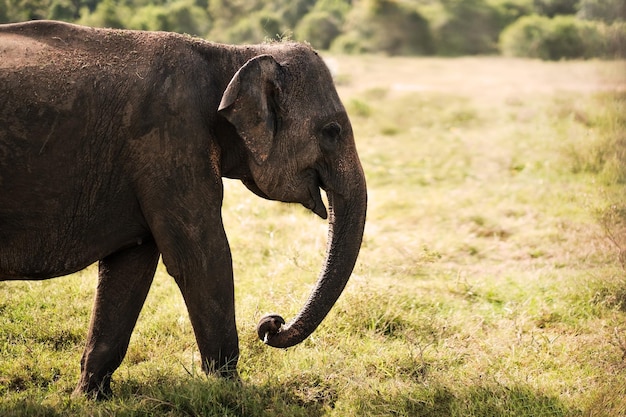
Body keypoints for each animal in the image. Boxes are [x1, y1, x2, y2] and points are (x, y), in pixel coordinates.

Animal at [0, 21, 368, 398]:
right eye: (332, 131)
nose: (271, 324)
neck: (228, 56)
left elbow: (130, 266)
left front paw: (89, 398)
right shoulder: (171, 143)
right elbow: (203, 258)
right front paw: (230, 391)